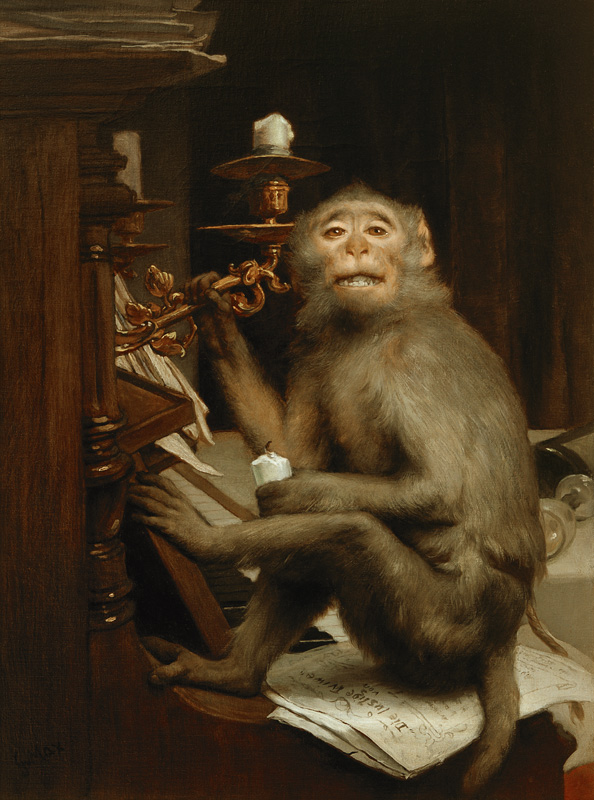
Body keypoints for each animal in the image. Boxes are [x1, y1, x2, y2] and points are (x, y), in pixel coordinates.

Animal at [128, 184, 546, 796]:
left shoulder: (414, 360)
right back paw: (235, 674)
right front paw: (215, 317)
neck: (374, 325)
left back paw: (209, 545)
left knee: (348, 533)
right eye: (334, 233)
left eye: (376, 231)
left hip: (447, 629)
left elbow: (436, 490)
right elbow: (288, 448)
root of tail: (504, 639)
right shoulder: (316, 353)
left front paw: (254, 513)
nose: (354, 250)